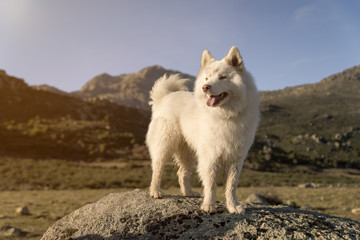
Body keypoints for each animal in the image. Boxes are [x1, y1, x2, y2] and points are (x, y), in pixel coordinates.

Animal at [146, 46, 258, 213]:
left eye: (222, 77)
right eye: (206, 78)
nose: (205, 87)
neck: (226, 115)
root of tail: (165, 97)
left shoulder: (235, 159)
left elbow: (231, 186)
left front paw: (233, 206)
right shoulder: (209, 157)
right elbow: (211, 184)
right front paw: (209, 205)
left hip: (188, 153)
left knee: (182, 173)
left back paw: (188, 192)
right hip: (165, 145)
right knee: (157, 169)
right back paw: (155, 192)